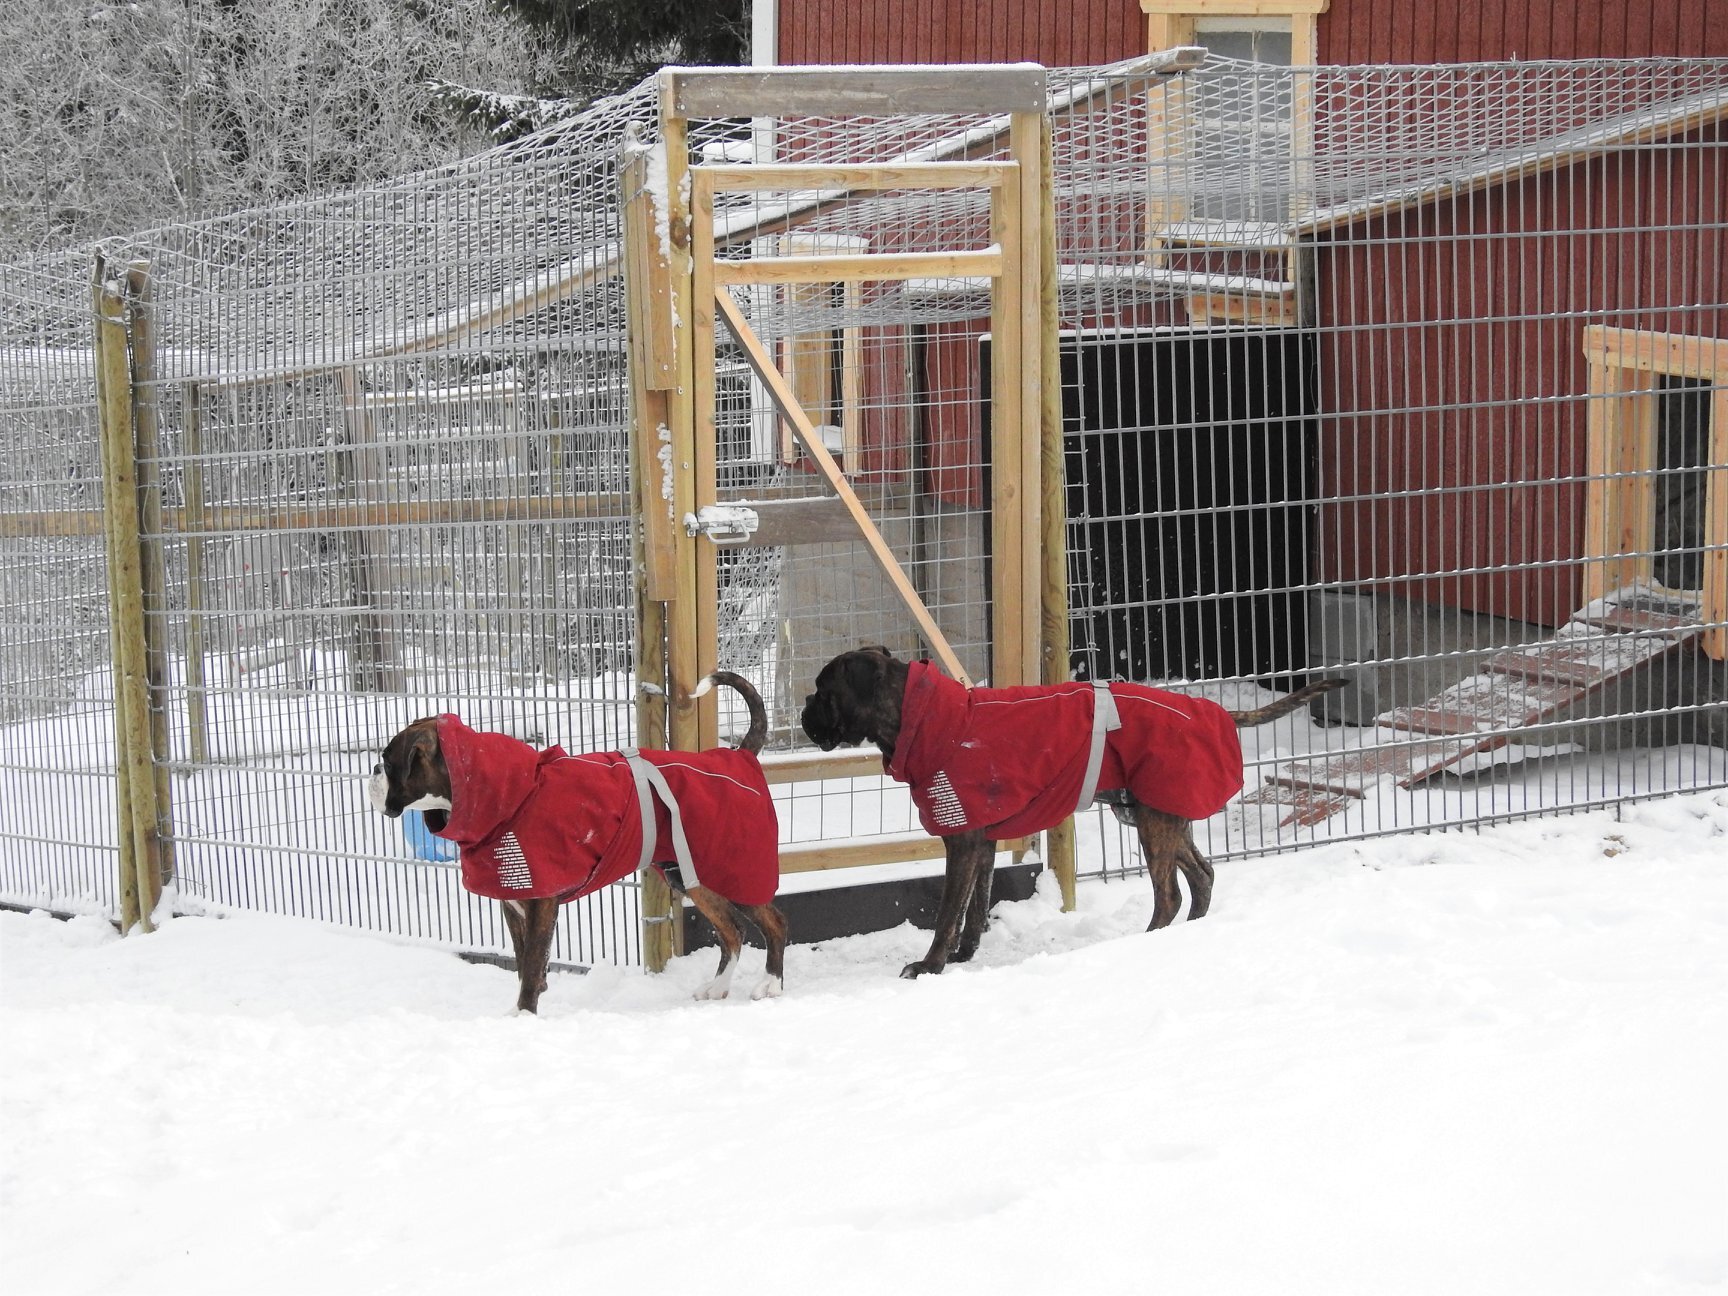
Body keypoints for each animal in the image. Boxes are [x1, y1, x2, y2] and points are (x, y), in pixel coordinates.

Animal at [369, 672, 788, 1011]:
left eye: (389, 761)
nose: (372, 770)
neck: (510, 794)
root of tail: (739, 754)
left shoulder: (541, 902)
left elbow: (532, 961)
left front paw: (523, 1014)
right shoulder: (513, 901)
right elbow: (524, 962)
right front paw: (528, 1000)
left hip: (734, 866)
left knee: (774, 922)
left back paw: (770, 983)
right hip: (689, 874)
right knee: (733, 930)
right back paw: (718, 987)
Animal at [801, 647, 1342, 978]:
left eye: (824, 691)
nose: (806, 710)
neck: (923, 717)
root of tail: (1215, 712)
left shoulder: (962, 840)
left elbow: (948, 912)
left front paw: (930, 965)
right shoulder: (982, 842)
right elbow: (975, 908)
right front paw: (962, 956)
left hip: (1154, 823)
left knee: (1168, 894)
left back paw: (1147, 940)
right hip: (1158, 815)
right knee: (1203, 875)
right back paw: (1188, 932)